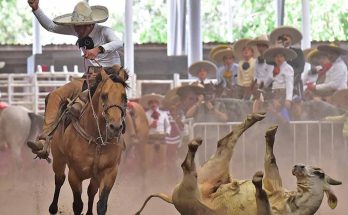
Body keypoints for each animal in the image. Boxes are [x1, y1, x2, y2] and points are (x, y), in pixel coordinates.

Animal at [48, 68, 129, 215]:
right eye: (104, 95)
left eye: (124, 97)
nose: (115, 127)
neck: (96, 139)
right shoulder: (74, 174)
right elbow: (77, 205)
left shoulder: (110, 172)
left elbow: (101, 204)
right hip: (58, 158)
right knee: (59, 179)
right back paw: (53, 208)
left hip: (95, 176)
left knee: (91, 191)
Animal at [136, 113, 342, 214]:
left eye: (320, 172)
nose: (298, 166)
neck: (294, 203)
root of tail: (172, 198)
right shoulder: (275, 186)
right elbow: (271, 164)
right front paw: (269, 135)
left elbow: (262, 196)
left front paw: (257, 181)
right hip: (211, 171)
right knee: (224, 143)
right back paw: (256, 118)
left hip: (191, 194)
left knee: (189, 166)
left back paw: (194, 144)